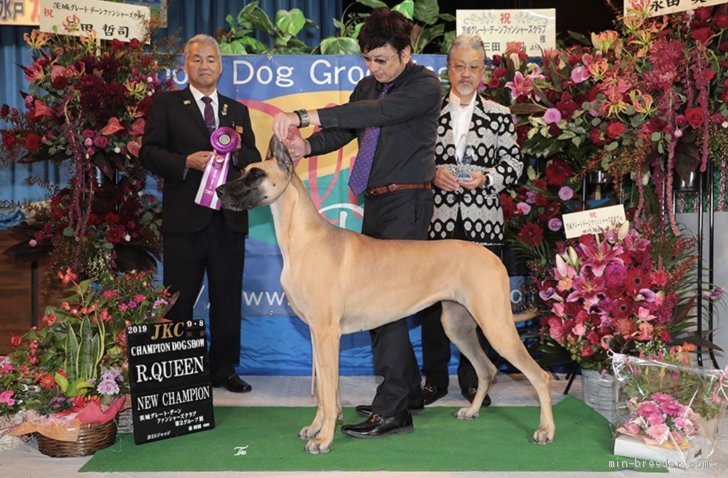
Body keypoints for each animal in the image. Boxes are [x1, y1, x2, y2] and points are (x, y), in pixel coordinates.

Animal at [213, 136, 556, 454]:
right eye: (243, 170)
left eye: (256, 174)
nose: (219, 191)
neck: (302, 236)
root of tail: (491, 256)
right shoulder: (316, 334)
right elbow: (324, 391)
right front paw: (317, 428)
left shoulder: (326, 334)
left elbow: (328, 392)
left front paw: (324, 439)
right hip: (457, 325)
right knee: (487, 369)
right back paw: (471, 410)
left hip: (496, 325)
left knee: (539, 376)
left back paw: (545, 431)